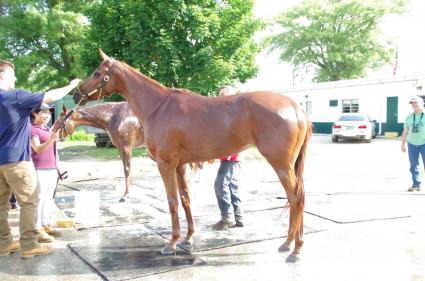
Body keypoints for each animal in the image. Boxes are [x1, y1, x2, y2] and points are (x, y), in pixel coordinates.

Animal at [73, 50, 312, 258]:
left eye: (97, 72)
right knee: (297, 198)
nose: (77, 94)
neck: (158, 107)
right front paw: (188, 238)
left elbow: (172, 202)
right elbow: (185, 199)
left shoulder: (166, 164)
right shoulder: (180, 165)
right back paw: (290, 244)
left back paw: (295, 248)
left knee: (296, 198)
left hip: (281, 165)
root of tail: (297, 109)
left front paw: (171, 243)